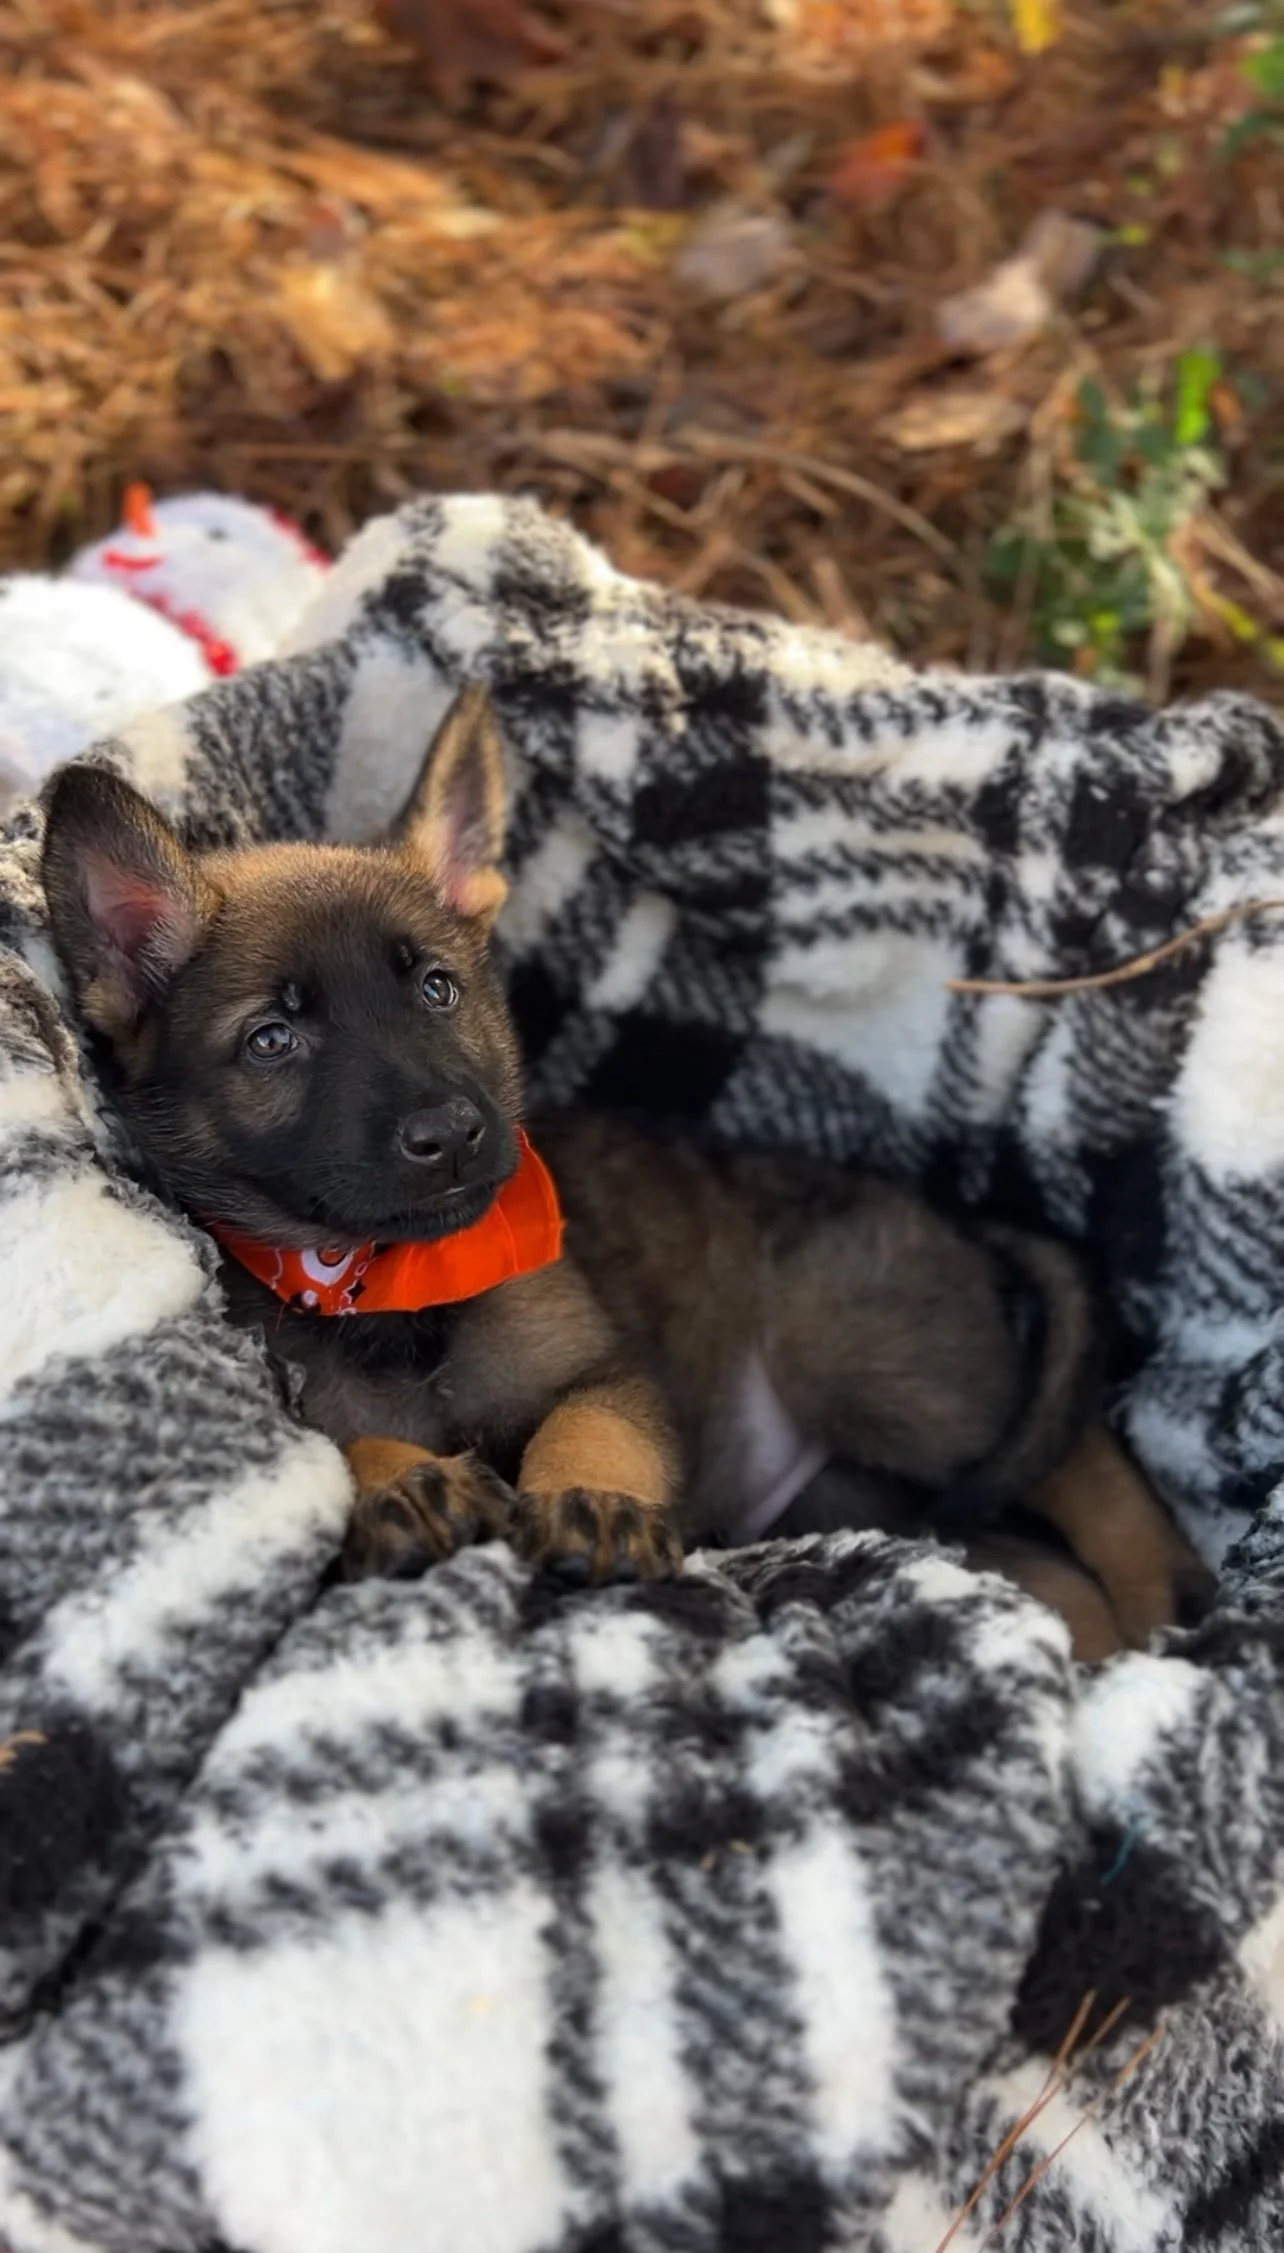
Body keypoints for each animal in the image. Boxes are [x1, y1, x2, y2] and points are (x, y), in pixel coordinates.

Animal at [40, 688, 1212, 1653]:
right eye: (272, 1041)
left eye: (436, 989)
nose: (453, 1134)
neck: (396, 1295)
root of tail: (955, 1223)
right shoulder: (300, 1414)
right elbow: (346, 1450)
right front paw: (402, 1486)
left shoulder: (610, 1370)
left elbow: (590, 1422)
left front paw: (596, 1502)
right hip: (860, 1498)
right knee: (1050, 1569)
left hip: (867, 1363)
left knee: (1073, 1445)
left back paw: (1159, 1584)